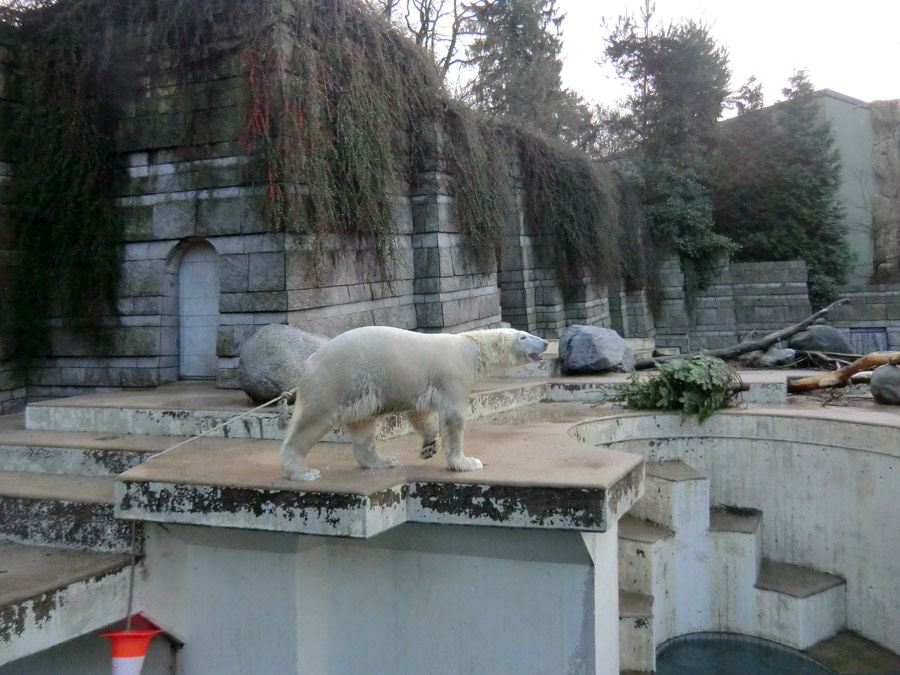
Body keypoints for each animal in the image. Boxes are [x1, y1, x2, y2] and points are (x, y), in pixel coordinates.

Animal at [280, 326, 548, 480]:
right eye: (523, 336)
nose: (546, 342)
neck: (470, 348)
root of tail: (309, 362)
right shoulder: (452, 376)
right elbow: (454, 418)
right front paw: (466, 462)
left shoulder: (422, 386)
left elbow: (420, 414)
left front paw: (429, 447)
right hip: (334, 381)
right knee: (312, 422)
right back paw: (303, 471)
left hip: (359, 392)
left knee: (363, 425)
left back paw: (384, 461)